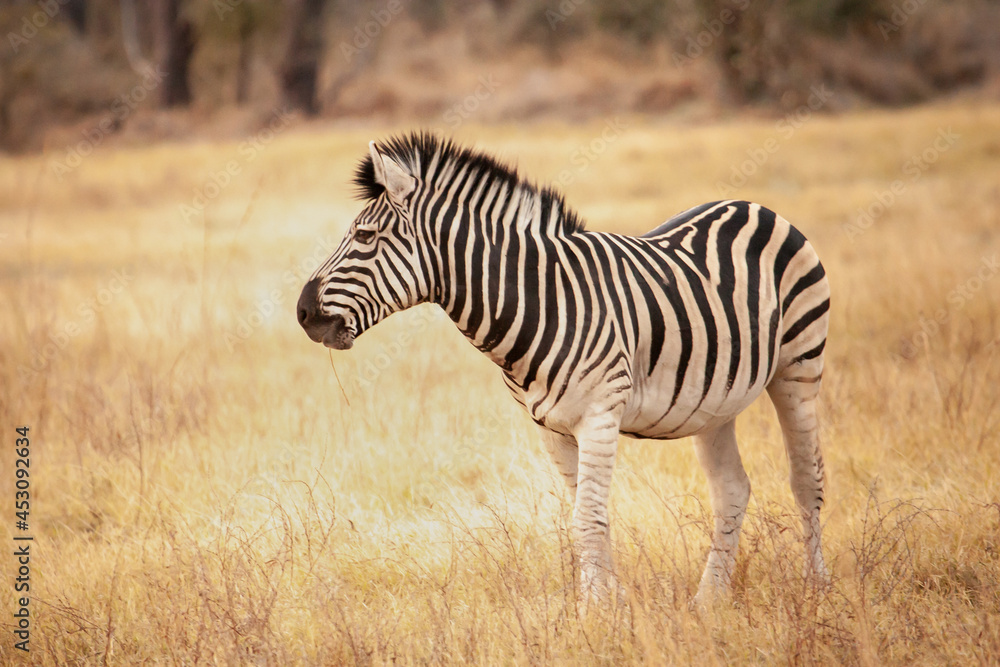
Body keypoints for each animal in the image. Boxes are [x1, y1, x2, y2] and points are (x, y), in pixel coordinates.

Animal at [297, 133, 830, 605]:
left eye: (364, 236)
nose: (303, 312)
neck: (542, 302)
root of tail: (752, 205)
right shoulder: (550, 427)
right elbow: (585, 517)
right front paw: (608, 604)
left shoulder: (599, 415)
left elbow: (587, 518)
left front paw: (594, 614)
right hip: (714, 402)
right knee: (732, 490)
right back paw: (709, 601)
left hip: (798, 369)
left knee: (807, 481)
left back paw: (815, 593)